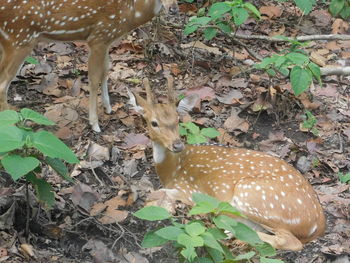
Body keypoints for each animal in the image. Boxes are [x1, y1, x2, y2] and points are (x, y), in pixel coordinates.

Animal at [0, 0, 178, 132]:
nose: (174, 9)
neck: (132, 12)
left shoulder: (107, 40)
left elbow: (106, 70)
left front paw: (108, 107)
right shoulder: (98, 37)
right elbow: (93, 78)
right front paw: (95, 124)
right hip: (20, 39)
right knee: (3, 84)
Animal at [128, 77, 326, 253]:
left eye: (178, 119)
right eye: (154, 122)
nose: (177, 145)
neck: (172, 170)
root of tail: (318, 224)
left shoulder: (190, 192)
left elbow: (154, 194)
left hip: (253, 195)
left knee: (288, 241)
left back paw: (231, 233)